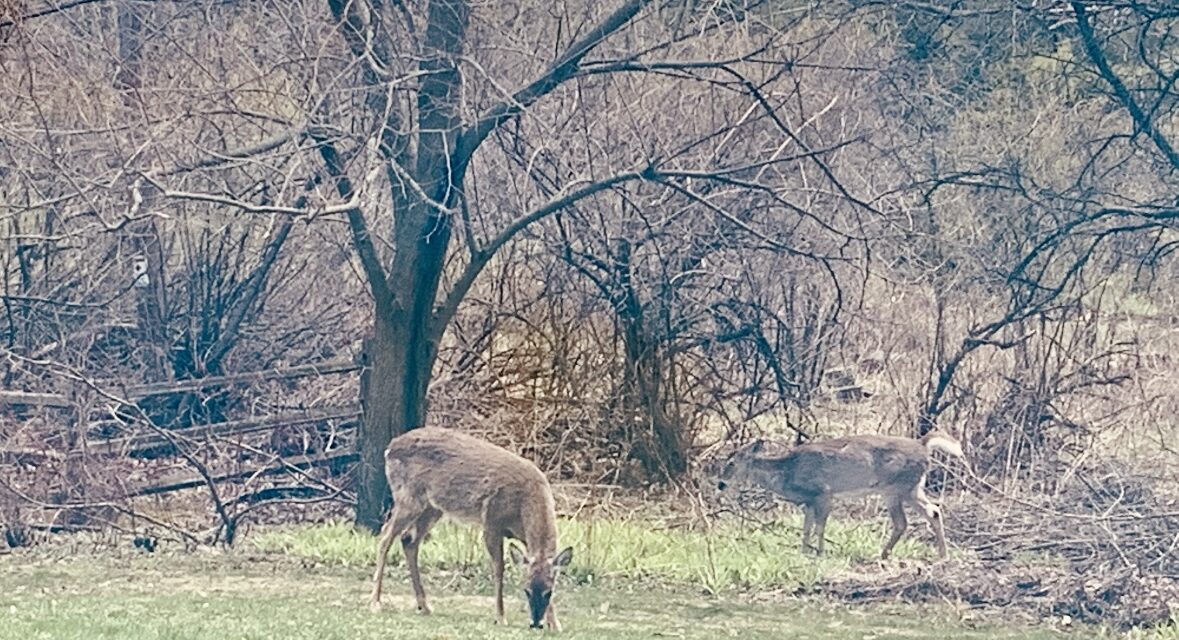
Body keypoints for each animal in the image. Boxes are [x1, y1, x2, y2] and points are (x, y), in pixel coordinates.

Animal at [369, 426, 574, 631]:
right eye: (527, 591)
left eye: (549, 592)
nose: (536, 623)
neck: (524, 502)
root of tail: (390, 448)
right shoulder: (492, 521)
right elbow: (499, 569)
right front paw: (500, 617)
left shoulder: (523, 535)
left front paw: (555, 624)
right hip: (408, 496)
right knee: (386, 535)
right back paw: (375, 602)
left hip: (432, 507)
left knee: (408, 540)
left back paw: (424, 605)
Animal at [716, 430, 965, 559]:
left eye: (731, 463)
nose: (720, 484)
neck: (788, 470)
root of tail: (923, 446)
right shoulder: (809, 501)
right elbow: (806, 527)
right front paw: (804, 551)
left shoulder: (824, 493)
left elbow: (820, 526)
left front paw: (820, 552)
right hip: (910, 488)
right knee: (932, 511)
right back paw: (941, 555)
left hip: (897, 487)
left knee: (904, 521)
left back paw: (886, 553)